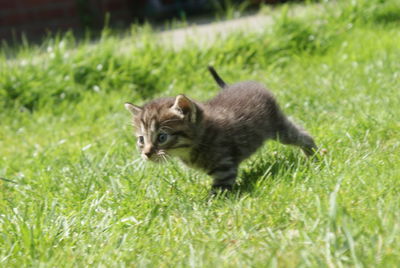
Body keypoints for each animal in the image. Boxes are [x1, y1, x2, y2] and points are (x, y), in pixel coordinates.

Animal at [123, 67, 318, 193]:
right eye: (141, 139)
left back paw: (314, 156)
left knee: (303, 135)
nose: (147, 153)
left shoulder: (224, 166)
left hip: (278, 127)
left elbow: (218, 191)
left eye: (162, 137)